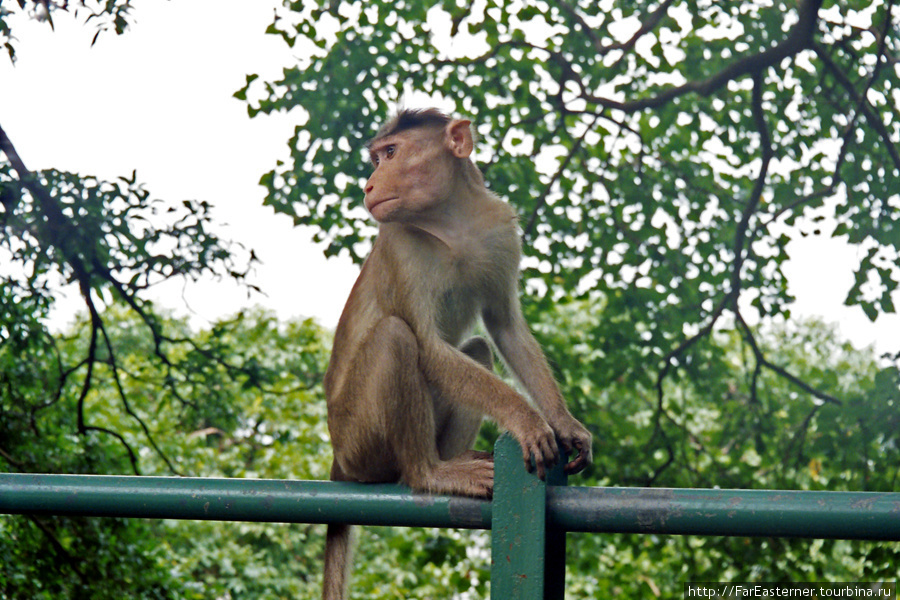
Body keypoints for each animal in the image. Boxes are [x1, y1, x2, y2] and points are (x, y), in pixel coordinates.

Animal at [320, 108, 596, 600]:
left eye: (391, 153)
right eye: (378, 157)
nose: (369, 186)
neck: (449, 222)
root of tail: (338, 457)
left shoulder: (500, 229)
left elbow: (504, 327)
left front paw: (566, 425)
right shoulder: (399, 243)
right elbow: (428, 348)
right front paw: (527, 420)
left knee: (477, 350)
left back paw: (458, 459)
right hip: (358, 442)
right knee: (395, 337)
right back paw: (430, 473)